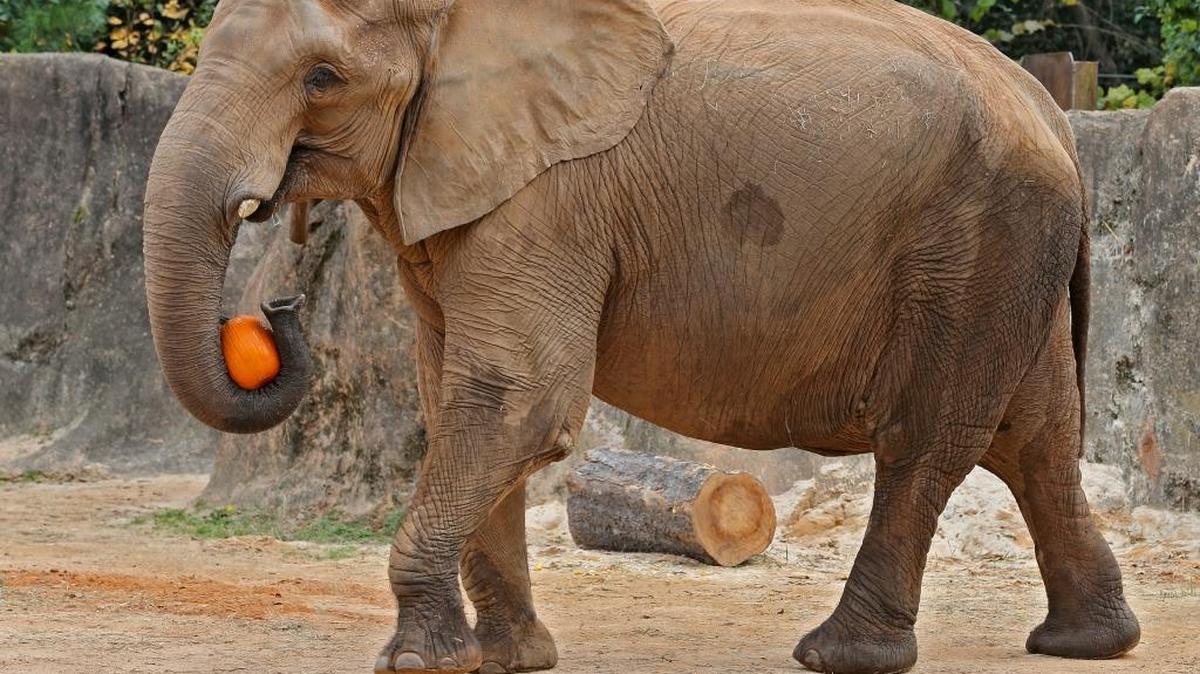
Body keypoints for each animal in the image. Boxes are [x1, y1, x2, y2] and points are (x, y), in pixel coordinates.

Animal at [142, 0, 1142, 672]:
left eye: (321, 78)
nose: (278, 310)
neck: (459, 21)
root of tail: (1055, 114)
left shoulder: (550, 200)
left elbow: (514, 399)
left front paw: (421, 663)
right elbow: (457, 396)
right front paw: (508, 661)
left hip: (975, 250)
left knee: (930, 443)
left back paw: (839, 653)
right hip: (1007, 256)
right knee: (1037, 439)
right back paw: (1086, 643)